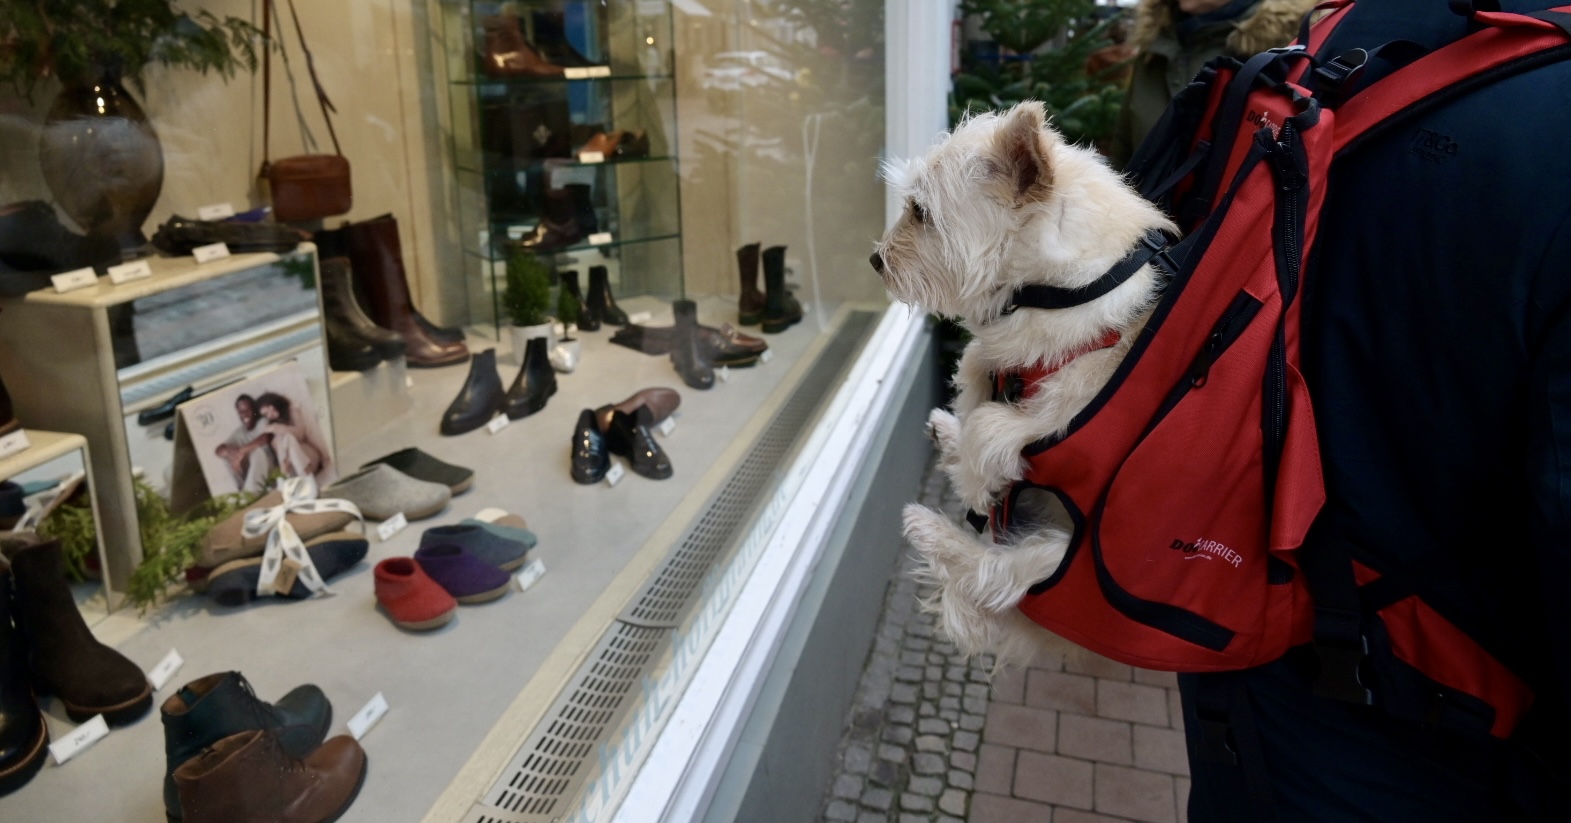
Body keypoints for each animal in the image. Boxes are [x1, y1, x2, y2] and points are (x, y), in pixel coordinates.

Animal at [873, 102, 1181, 669]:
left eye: (921, 212)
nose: (876, 260)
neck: (1061, 291)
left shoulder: (1060, 414)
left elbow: (990, 426)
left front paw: (977, 484)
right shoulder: (1003, 351)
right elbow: (974, 369)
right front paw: (964, 442)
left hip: (1060, 561)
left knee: (993, 573)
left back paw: (927, 525)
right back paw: (944, 437)